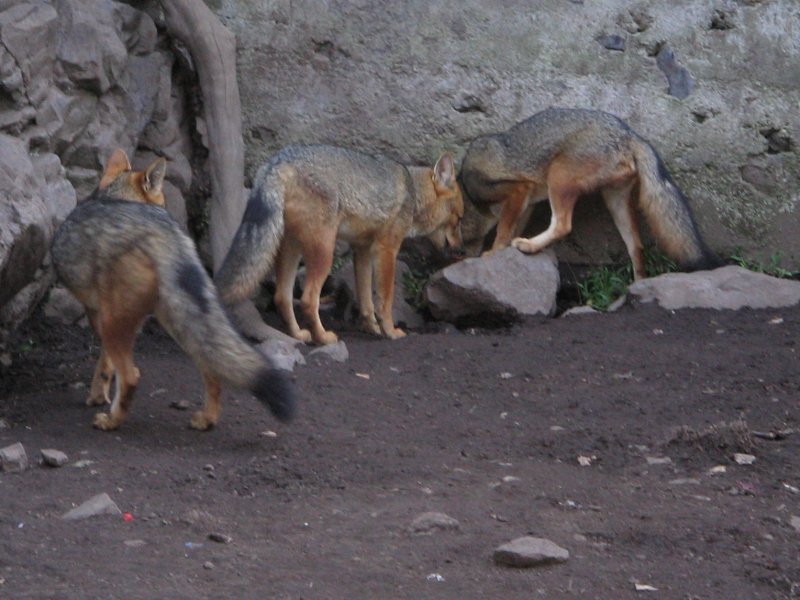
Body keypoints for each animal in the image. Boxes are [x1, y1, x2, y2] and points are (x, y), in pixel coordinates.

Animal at [50, 150, 296, 432]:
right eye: (162, 199)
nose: (166, 207)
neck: (114, 196)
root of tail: (163, 232)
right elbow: (105, 365)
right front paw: (98, 394)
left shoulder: (97, 316)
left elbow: (106, 365)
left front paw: (98, 397)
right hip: (178, 321)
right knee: (212, 369)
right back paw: (206, 419)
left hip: (126, 324)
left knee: (132, 376)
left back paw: (112, 421)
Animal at [214, 142, 462, 344]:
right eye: (459, 219)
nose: (461, 249)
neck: (413, 189)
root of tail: (278, 161)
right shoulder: (387, 250)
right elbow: (385, 300)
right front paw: (390, 331)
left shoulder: (362, 250)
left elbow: (366, 300)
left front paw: (372, 328)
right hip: (325, 253)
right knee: (308, 299)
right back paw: (323, 338)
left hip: (292, 249)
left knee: (281, 297)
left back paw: (299, 335)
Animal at [456, 106, 720, 278]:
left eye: (459, 238)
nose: (459, 258)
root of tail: (630, 133)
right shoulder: (526, 203)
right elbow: (511, 226)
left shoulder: (516, 189)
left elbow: (503, 230)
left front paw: (494, 252)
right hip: (615, 202)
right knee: (636, 247)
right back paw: (637, 286)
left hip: (558, 177)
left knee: (562, 225)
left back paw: (530, 246)